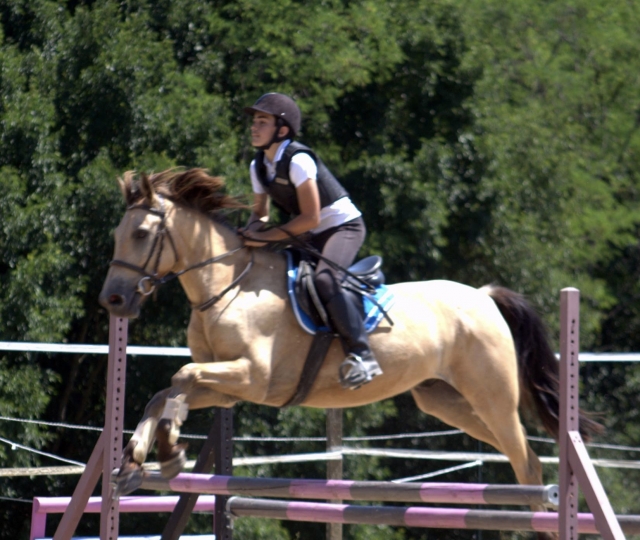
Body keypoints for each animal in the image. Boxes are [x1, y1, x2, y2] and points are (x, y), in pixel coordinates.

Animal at [99, 168, 601, 520]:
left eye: (141, 234)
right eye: (116, 234)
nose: (113, 300)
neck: (227, 286)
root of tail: (482, 295)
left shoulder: (253, 377)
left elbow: (179, 377)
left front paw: (169, 450)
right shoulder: (226, 388)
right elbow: (166, 392)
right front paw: (135, 462)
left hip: (492, 396)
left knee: (528, 463)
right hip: (448, 401)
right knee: (521, 454)